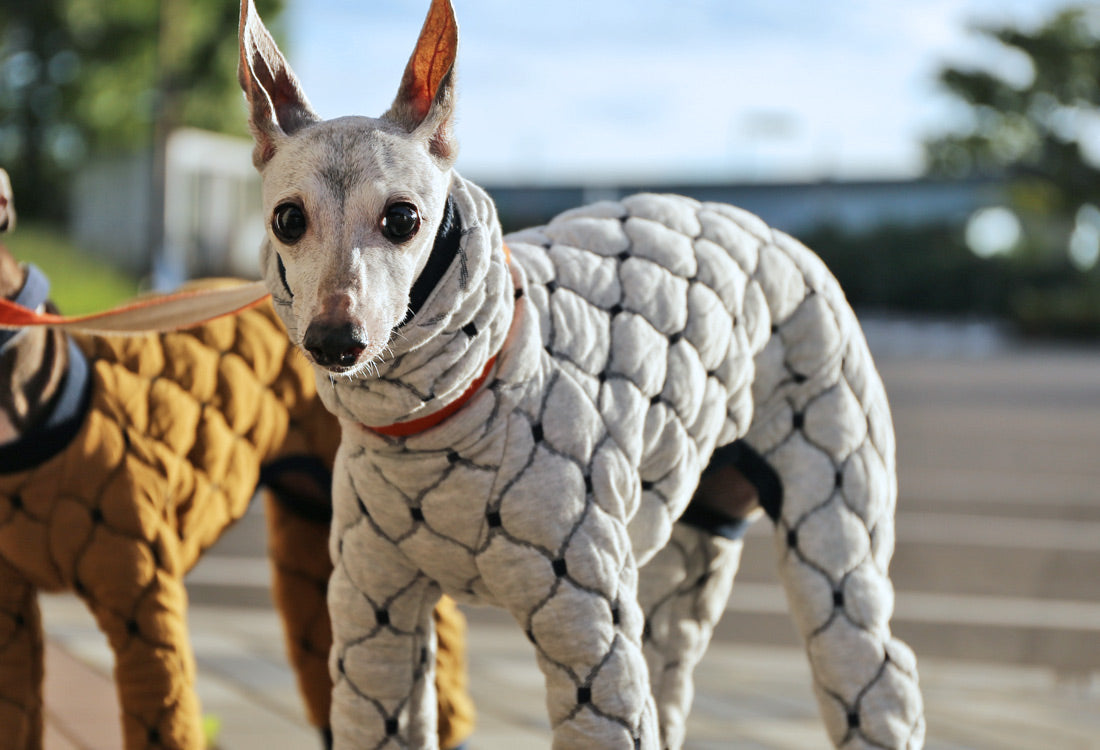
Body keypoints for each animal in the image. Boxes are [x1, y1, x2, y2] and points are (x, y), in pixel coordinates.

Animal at [238, 2, 919, 743]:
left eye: (402, 218)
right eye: (287, 219)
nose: (335, 341)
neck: (447, 409)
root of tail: (785, 239)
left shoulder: (587, 628)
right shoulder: (375, 622)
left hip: (831, 512)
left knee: (876, 671)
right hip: (689, 549)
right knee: (672, 664)